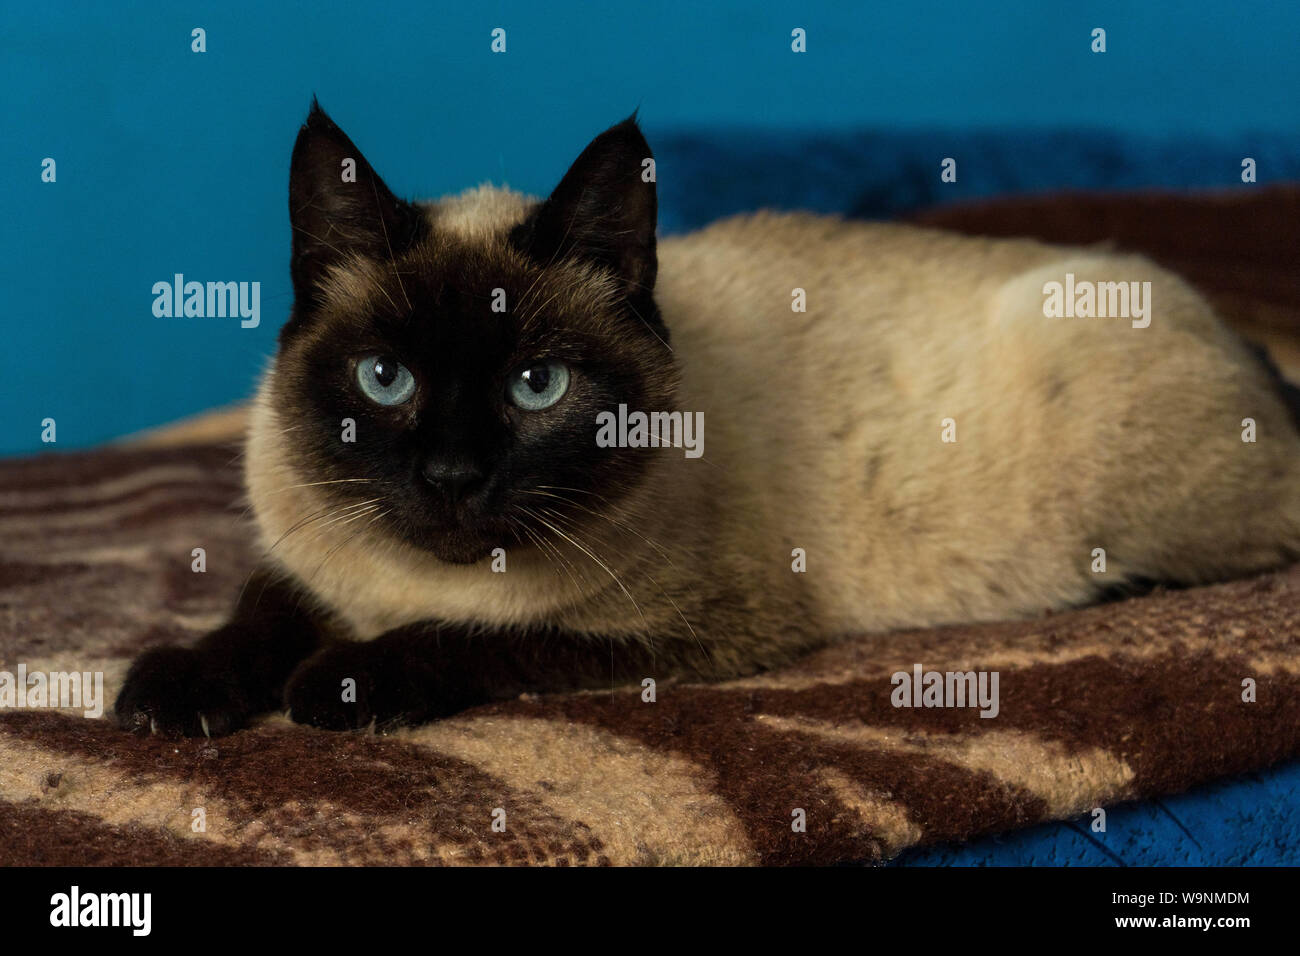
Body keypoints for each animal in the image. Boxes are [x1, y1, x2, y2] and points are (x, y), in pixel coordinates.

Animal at [116, 100, 1294, 738]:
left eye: (536, 386)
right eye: (384, 379)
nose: (450, 478)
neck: (401, 583)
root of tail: (1248, 343)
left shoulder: (674, 630)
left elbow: (475, 635)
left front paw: (335, 687)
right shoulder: (306, 562)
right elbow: (255, 613)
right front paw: (172, 693)